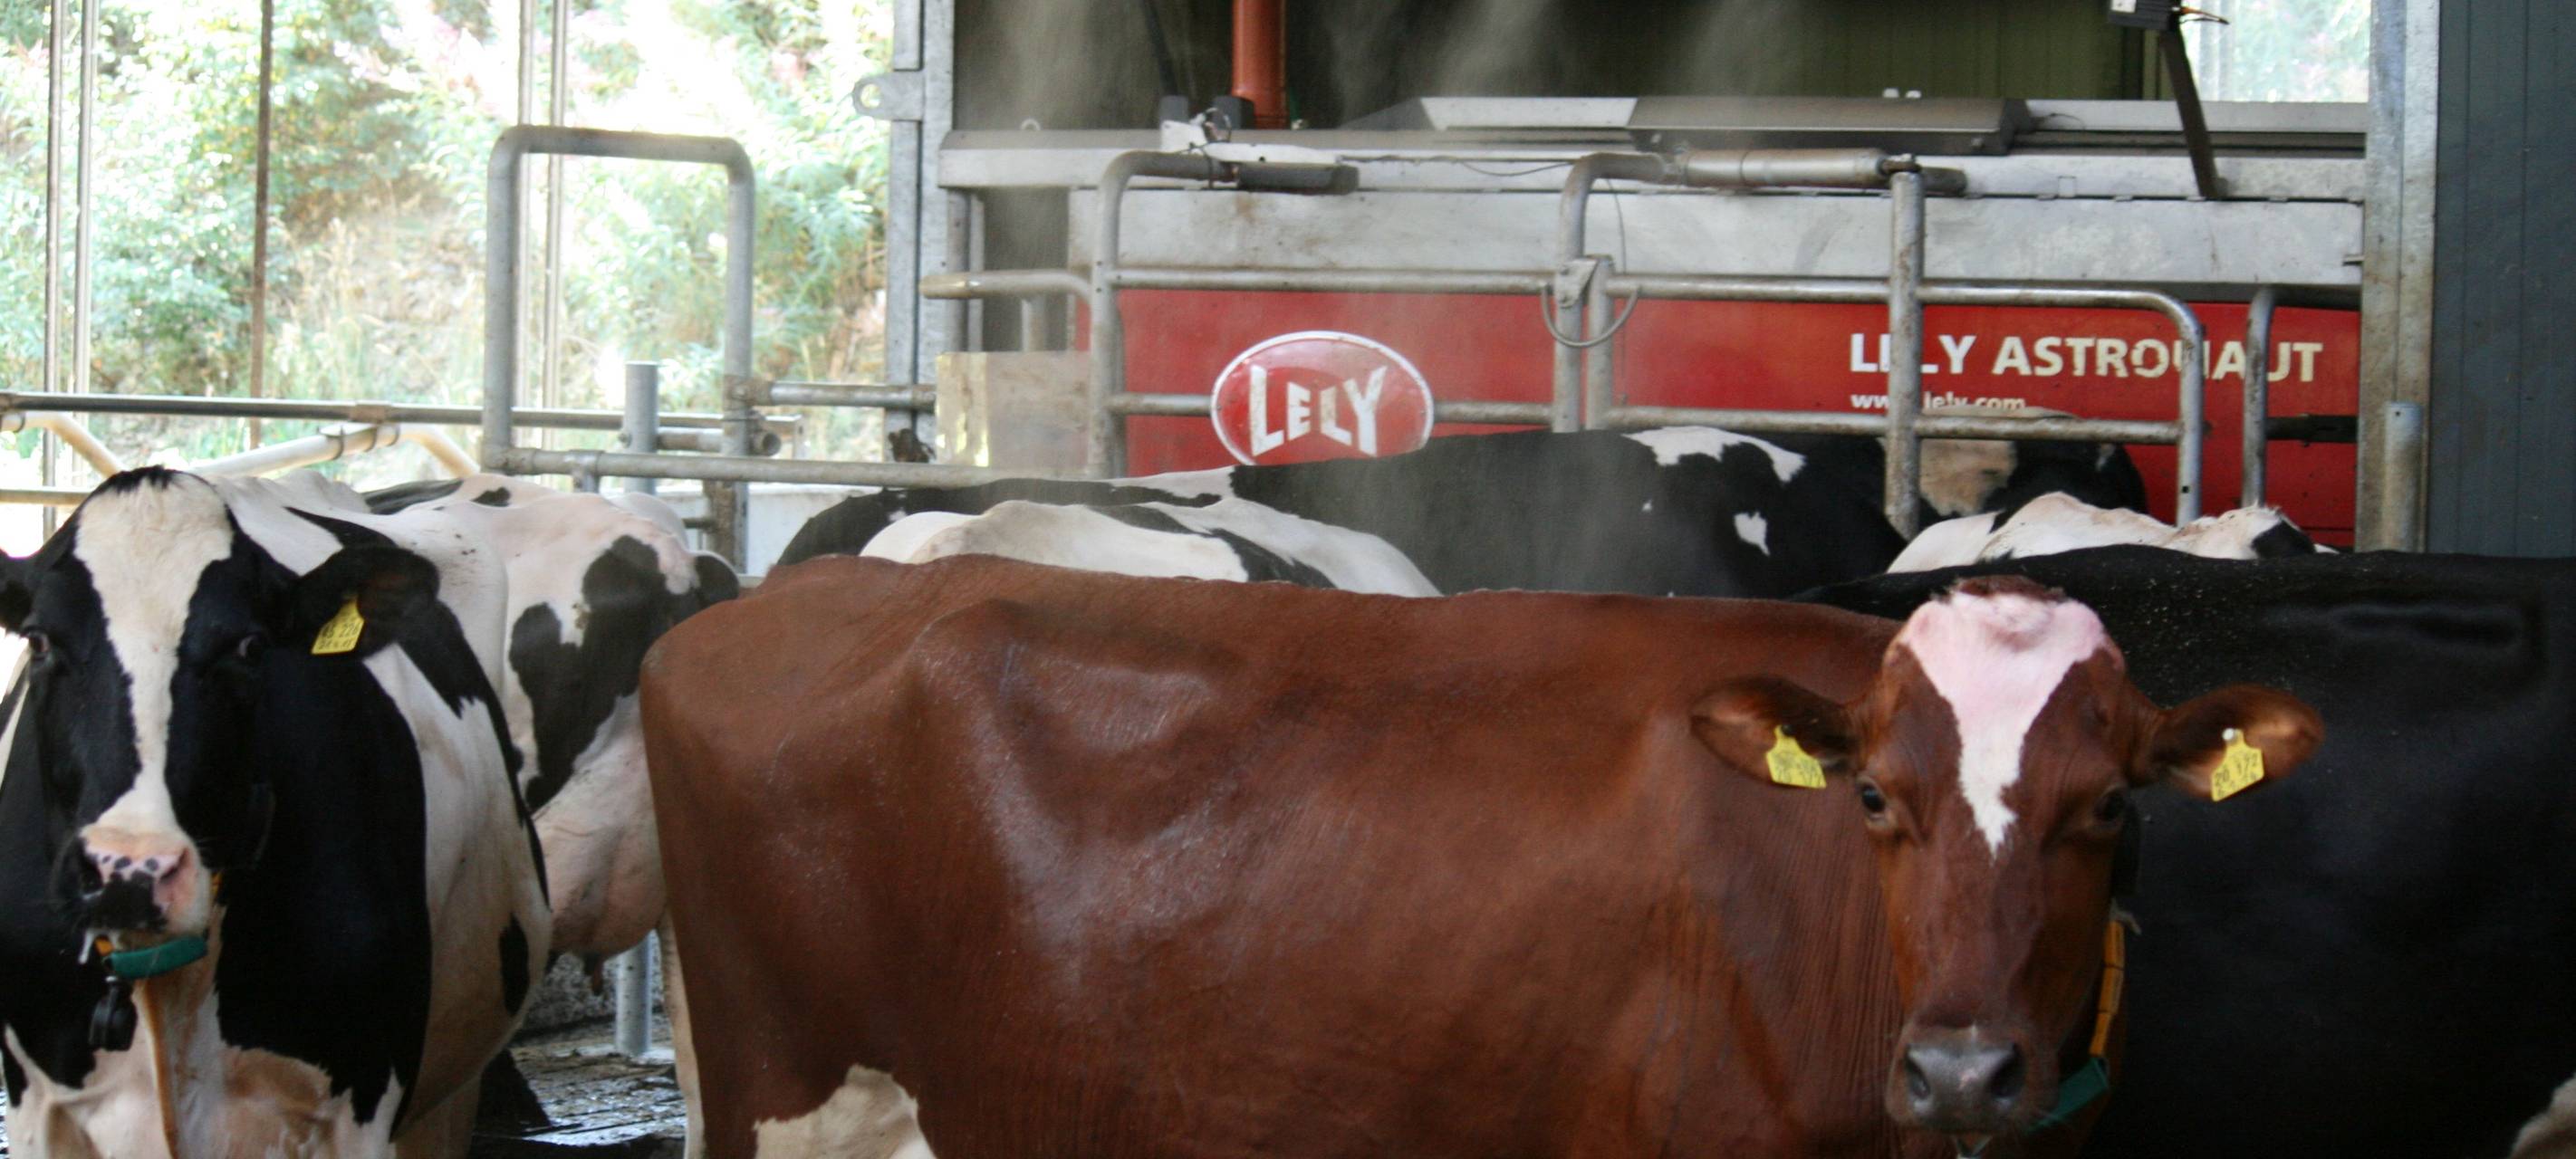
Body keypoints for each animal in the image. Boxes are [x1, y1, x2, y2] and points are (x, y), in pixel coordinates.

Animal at [0, 468, 549, 1157]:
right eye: (39, 640)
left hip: (446, 1100)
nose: (129, 871)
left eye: (251, 647)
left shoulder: (359, 1102)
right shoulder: (39, 1105)